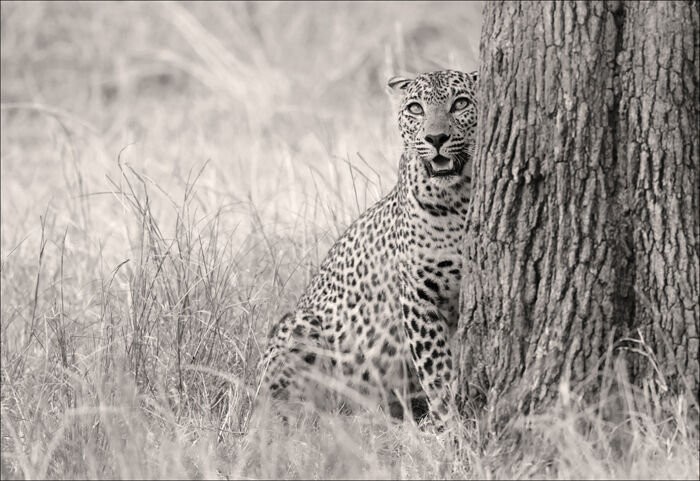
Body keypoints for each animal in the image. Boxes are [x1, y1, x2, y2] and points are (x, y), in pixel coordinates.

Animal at [257, 69, 478, 426]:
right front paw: (450, 423)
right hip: (301, 326)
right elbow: (435, 368)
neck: (458, 200)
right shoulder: (418, 295)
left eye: (460, 104)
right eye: (415, 109)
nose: (436, 138)